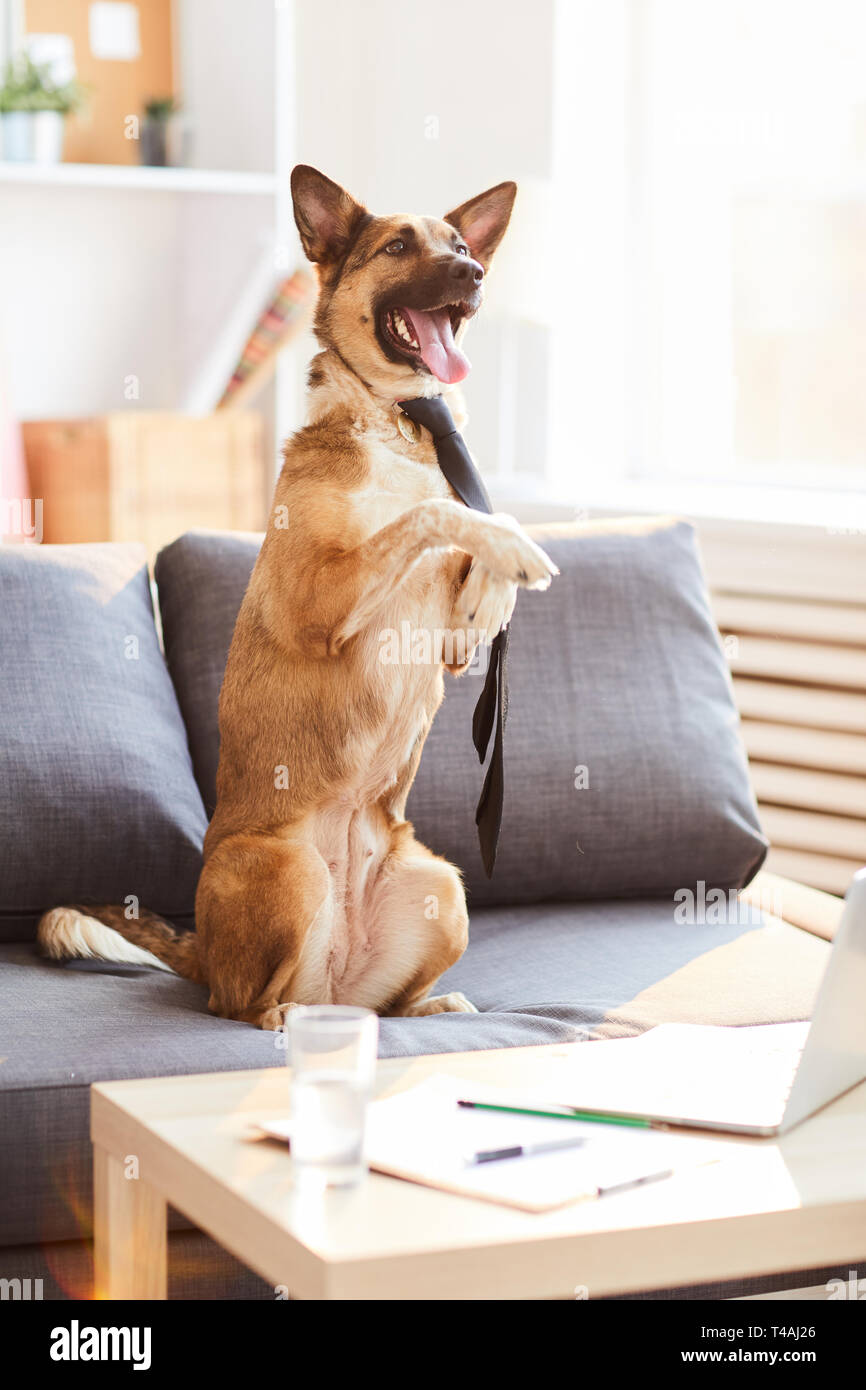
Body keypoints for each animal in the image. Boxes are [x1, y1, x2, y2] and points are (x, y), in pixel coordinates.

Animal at [37, 168, 556, 1028]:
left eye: (458, 244)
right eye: (397, 247)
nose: (473, 273)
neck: (401, 422)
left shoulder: (450, 647)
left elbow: (468, 520)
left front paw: (497, 583)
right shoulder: (321, 599)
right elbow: (432, 514)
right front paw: (510, 551)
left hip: (440, 886)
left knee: (381, 1008)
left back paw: (429, 1008)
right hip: (285, 868)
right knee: (242, 1004)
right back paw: (279, 1018)